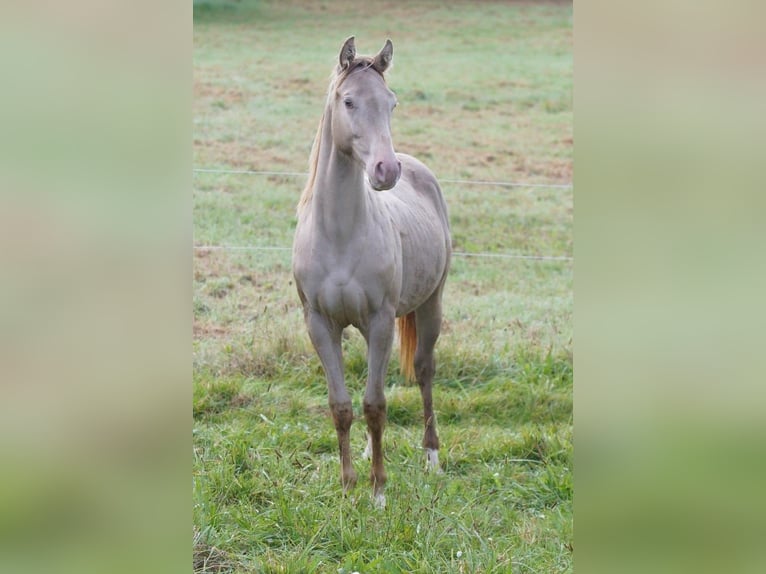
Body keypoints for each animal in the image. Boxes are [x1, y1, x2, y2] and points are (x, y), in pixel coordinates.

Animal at [292, 38, 450, 510]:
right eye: (348, 101)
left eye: (391, 103)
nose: (386, 170)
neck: (340, 234)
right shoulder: (320, 324)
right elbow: (343, 405)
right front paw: (348, 488)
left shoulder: (381, 321)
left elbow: (376, 405)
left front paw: (378, 491)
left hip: (431, 305)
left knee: (424, 371)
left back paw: (432, 457)